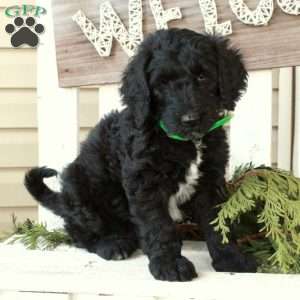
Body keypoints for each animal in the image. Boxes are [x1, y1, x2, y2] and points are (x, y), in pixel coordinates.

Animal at [24, 28, 256, 282]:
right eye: (162, 84)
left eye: (203, 77)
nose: (190, 119)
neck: (184, 142)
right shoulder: (145, 183)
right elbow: (159, 226)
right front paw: (170, 265)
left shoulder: (210, 181)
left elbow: (219, 221)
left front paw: (230, 258)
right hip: (79, 185)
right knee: (79, 232)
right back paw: (112, 244)